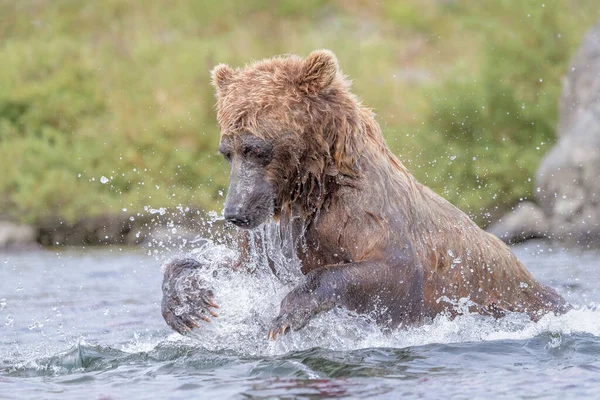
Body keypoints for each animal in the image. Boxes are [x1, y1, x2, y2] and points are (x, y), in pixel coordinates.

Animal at [161, 49, 568, 338]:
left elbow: (394, 272)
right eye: (226, 151)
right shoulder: (281, 234)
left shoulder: (363, 212)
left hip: (509, 296)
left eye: (256, 148)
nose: (236, 213)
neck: (312, 189)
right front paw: (188, 304)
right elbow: (233, 267)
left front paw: (288, 313)